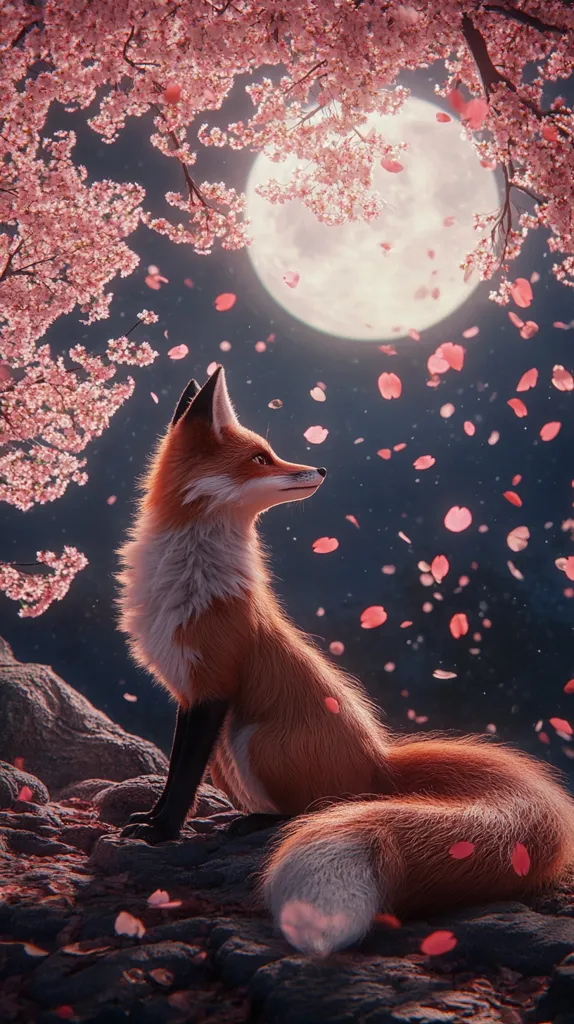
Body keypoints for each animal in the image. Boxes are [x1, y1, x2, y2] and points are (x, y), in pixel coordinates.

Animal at [116, 365, 574, 956]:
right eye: (260, 458)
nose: (321, 467)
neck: (193, 576)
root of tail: (382, 763)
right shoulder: (189, 692)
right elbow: (176, 773)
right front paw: (151, 820)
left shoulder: (212, 686)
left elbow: (181, 778)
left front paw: (162, 831)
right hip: (231, 750)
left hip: (252, 738)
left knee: (320, 808)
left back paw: (257, 825)